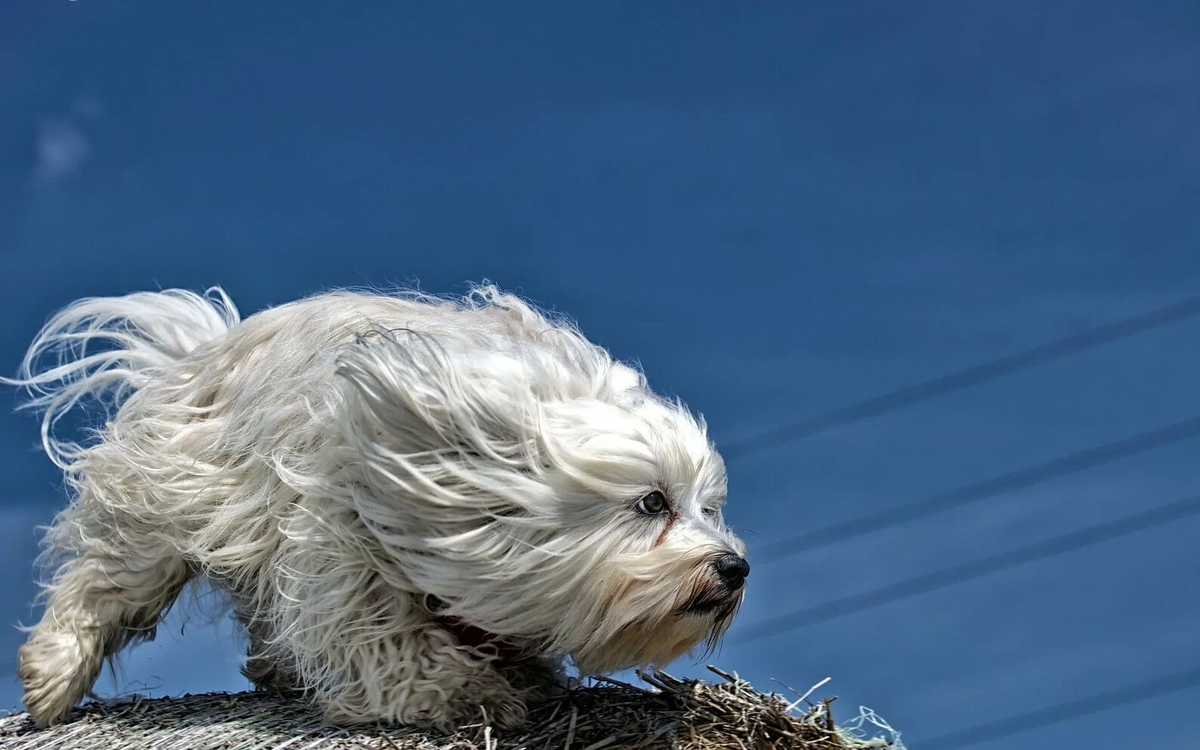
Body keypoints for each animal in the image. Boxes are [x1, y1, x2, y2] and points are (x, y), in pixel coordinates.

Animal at [2, 283, 748, 729]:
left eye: (708, 508)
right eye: (652, 502)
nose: (734, 567)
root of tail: (200, 351)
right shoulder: (342, 535)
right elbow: (379, 631)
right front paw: (462, 692)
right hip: (176, 497)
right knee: (110, 581)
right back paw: (51, 677)